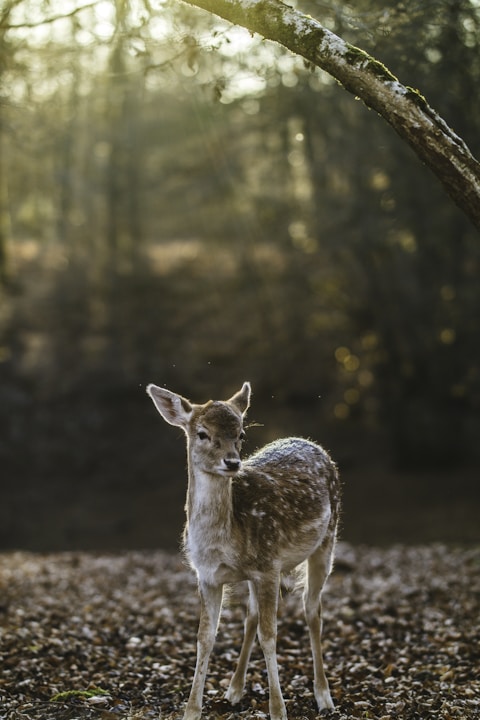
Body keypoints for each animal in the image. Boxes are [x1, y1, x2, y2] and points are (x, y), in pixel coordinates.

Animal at [146, 382, 342, 720]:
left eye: (241, 434)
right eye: (202, 433)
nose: (233, 462)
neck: (223, 542)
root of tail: (311, 443)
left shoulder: (269, 565)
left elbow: (270, 635)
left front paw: (278, 710)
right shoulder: (207, 576)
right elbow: (205, 637)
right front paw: (192, 710)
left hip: (327, 539)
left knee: (312, 610)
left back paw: (324, 697)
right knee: (251, 615)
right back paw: (234, 690)